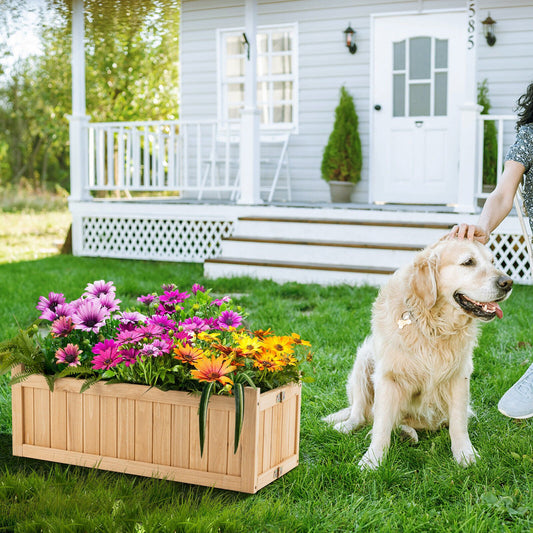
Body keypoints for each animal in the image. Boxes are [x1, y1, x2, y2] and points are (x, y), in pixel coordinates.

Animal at [322, 236, 512, 466]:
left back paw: (407, 433)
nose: (508, 282)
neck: (433, 325)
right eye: (468, 262)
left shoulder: (460, 376)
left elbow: (458, 423)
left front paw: (465, 455)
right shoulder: (388, 377)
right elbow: (381, 425)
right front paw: (372, 461)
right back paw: (348, 427)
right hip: (363, 360)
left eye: (493, 261)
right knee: (361, 415)